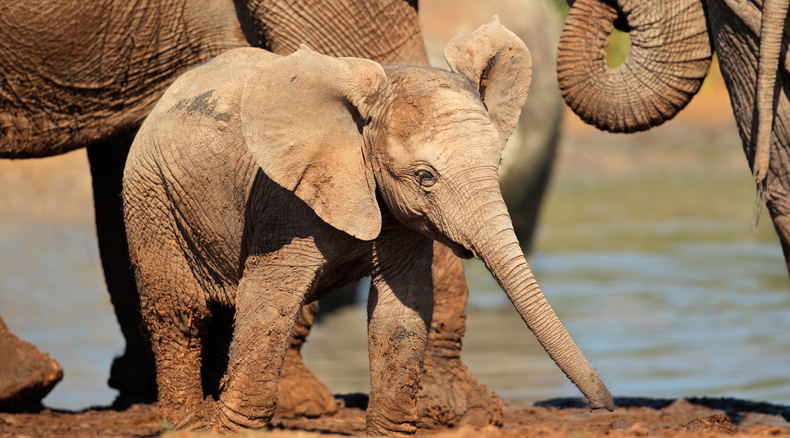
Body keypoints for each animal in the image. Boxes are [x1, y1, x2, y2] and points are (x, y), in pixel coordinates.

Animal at [121, 20, 613, 435]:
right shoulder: (284, 198)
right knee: (179, 313)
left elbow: (401, 312)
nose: (605, 408)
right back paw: (188, 426)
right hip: (150, 193)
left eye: (497, 165)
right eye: (425, 177)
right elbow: (268, 305)